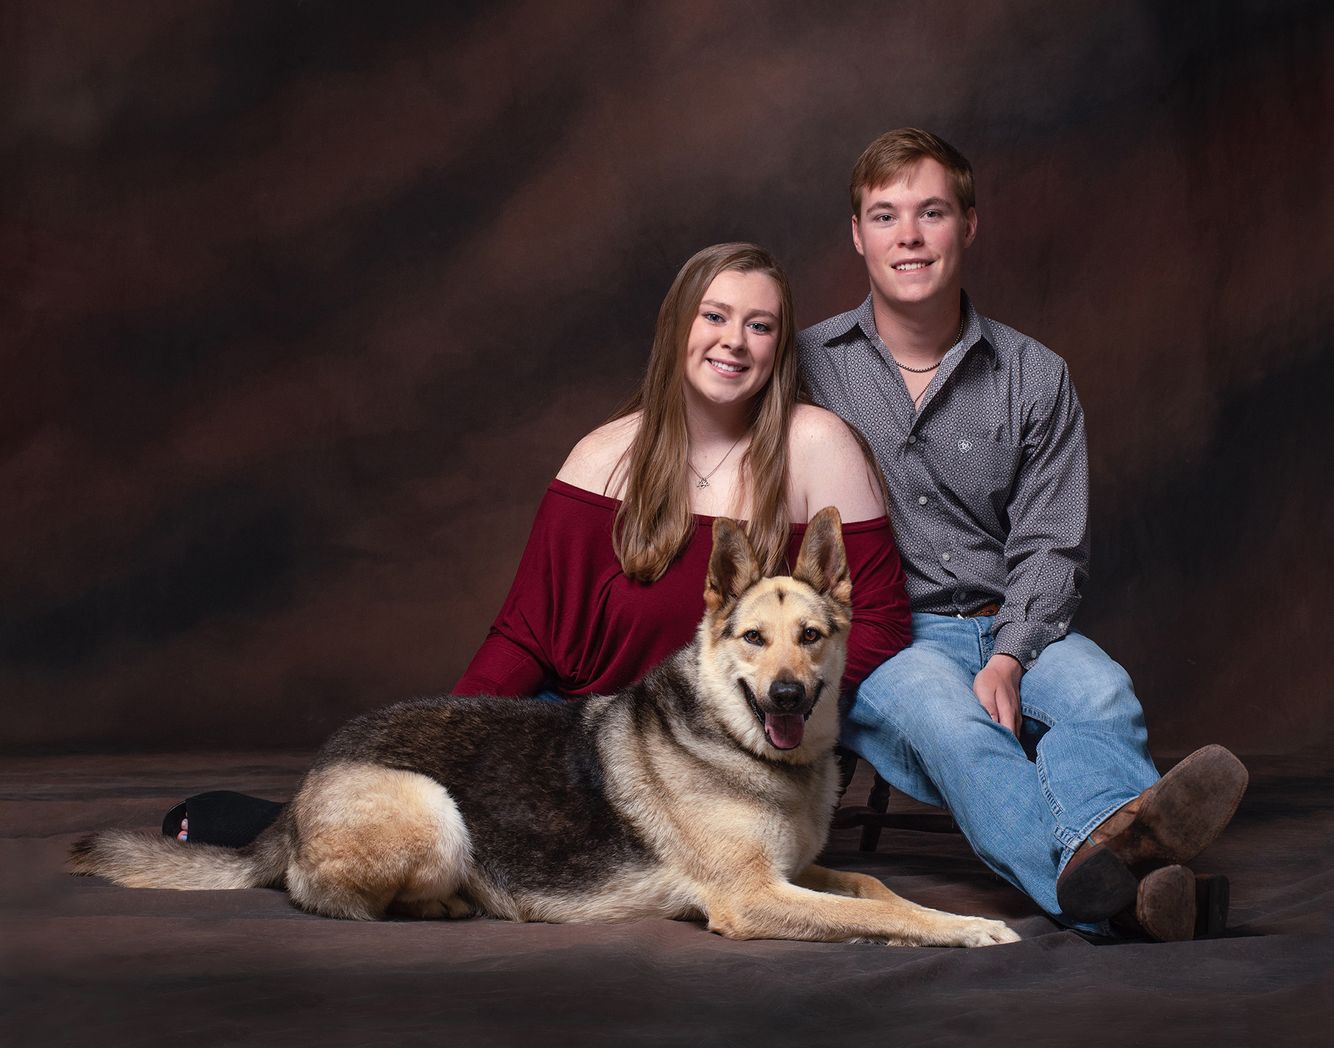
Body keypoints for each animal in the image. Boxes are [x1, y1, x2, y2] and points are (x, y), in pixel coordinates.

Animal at [67, 509, 1013, 949]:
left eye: (812, 637)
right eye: (753, 639)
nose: (785, 696)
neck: (742, 745)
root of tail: (302, 790)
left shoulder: (798, 871)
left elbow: (879, 892)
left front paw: (938, 911)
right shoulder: (754, 898)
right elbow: (882, 916)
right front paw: (964, 930)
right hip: (433, 812)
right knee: (330, 899)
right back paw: (453, 902)